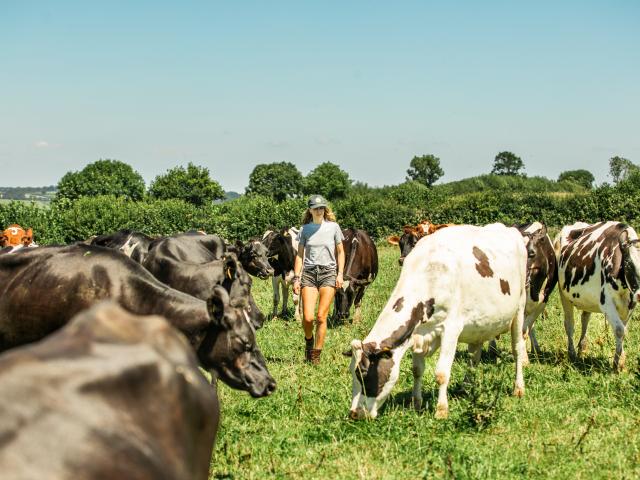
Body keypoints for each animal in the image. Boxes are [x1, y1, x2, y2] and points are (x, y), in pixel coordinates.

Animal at [346, 223, 527, 420]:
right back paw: (466, 387)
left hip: (520, 307)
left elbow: (441, 373)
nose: (354, 413)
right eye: (352, 373)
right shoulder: (417, 332)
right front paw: (416, 403)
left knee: (517, 349)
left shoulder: (451, 329)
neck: (429, 272)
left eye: (364, 374)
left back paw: (518, 388)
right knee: (474, 355)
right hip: (479, 324)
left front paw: (441, 410)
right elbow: (417, 369)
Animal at [555, 221, 640, 372]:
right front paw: (617, 364)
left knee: (585, 319)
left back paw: (582, 348)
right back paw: (572, 353)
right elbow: (619, 330)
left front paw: (620, 361)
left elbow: (623, 330)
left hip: (586, 298)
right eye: (629, 265)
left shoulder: (631, 304)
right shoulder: (606, 302)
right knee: (569, 324)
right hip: (563, 293)